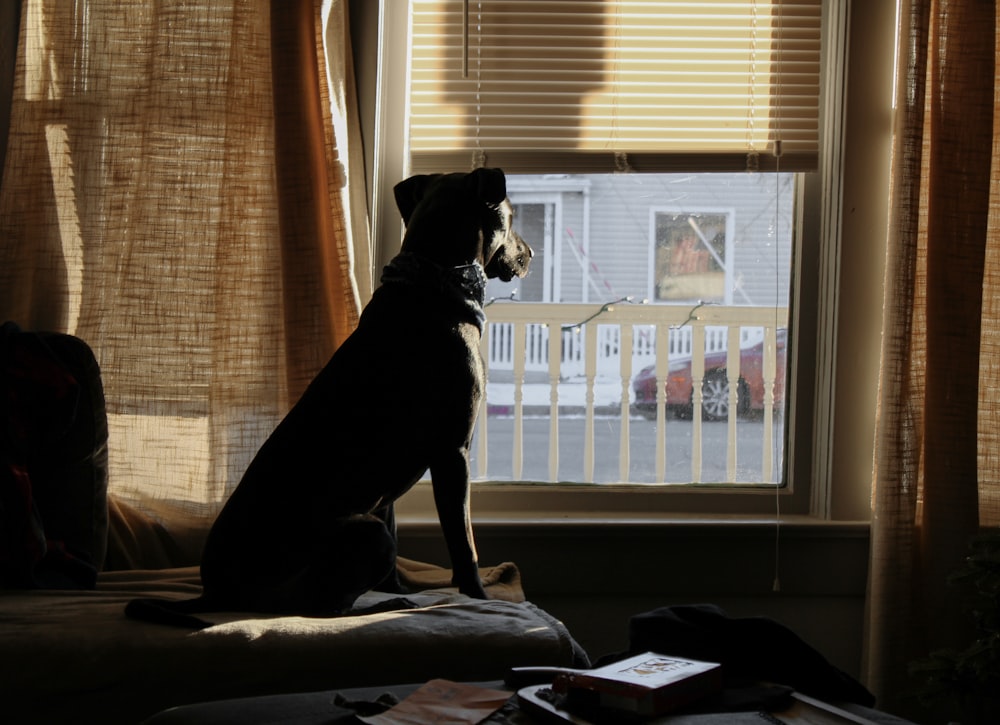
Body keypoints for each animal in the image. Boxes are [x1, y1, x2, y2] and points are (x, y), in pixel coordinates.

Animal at [129, 167, 536, 624]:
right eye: (511, 217)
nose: (530, 253)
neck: (433, 281)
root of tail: (216, 592)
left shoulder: (387, 491)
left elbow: (398, 538)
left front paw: (397, 587)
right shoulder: (453, 454)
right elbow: (464, 545)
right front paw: (478, 598)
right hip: (363, 534)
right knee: (322, 609)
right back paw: (386, 607)